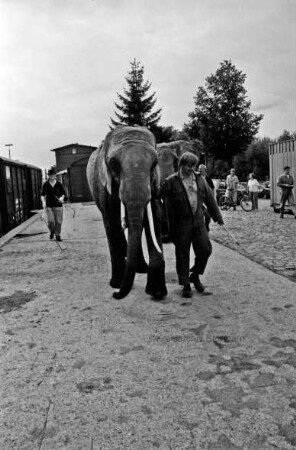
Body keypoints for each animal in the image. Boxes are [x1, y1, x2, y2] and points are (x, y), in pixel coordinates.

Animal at [86, 125, 168, 300]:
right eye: (113, 163)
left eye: (155, 163)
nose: (115, 295)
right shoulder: (103, 184)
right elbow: (111, 221)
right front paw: (116, 285)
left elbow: (154, 217)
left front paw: (157, 292)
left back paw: (141, 268)